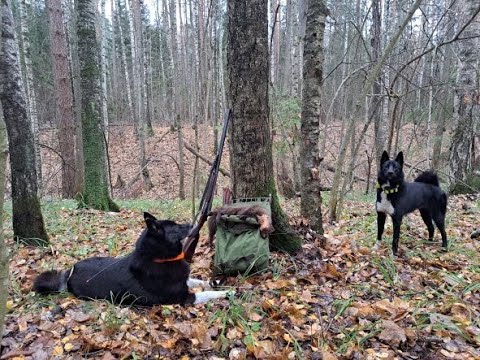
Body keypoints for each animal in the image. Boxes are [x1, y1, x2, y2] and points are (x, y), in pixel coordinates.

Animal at [32, 212, 232, 306]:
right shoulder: (183, 297)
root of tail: (69, 274)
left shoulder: (183, 280)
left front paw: (213, 282)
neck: (158, 258)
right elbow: (207, 294)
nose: (193, 224)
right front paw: (227, 293)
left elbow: (197, 280)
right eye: (175, 227)